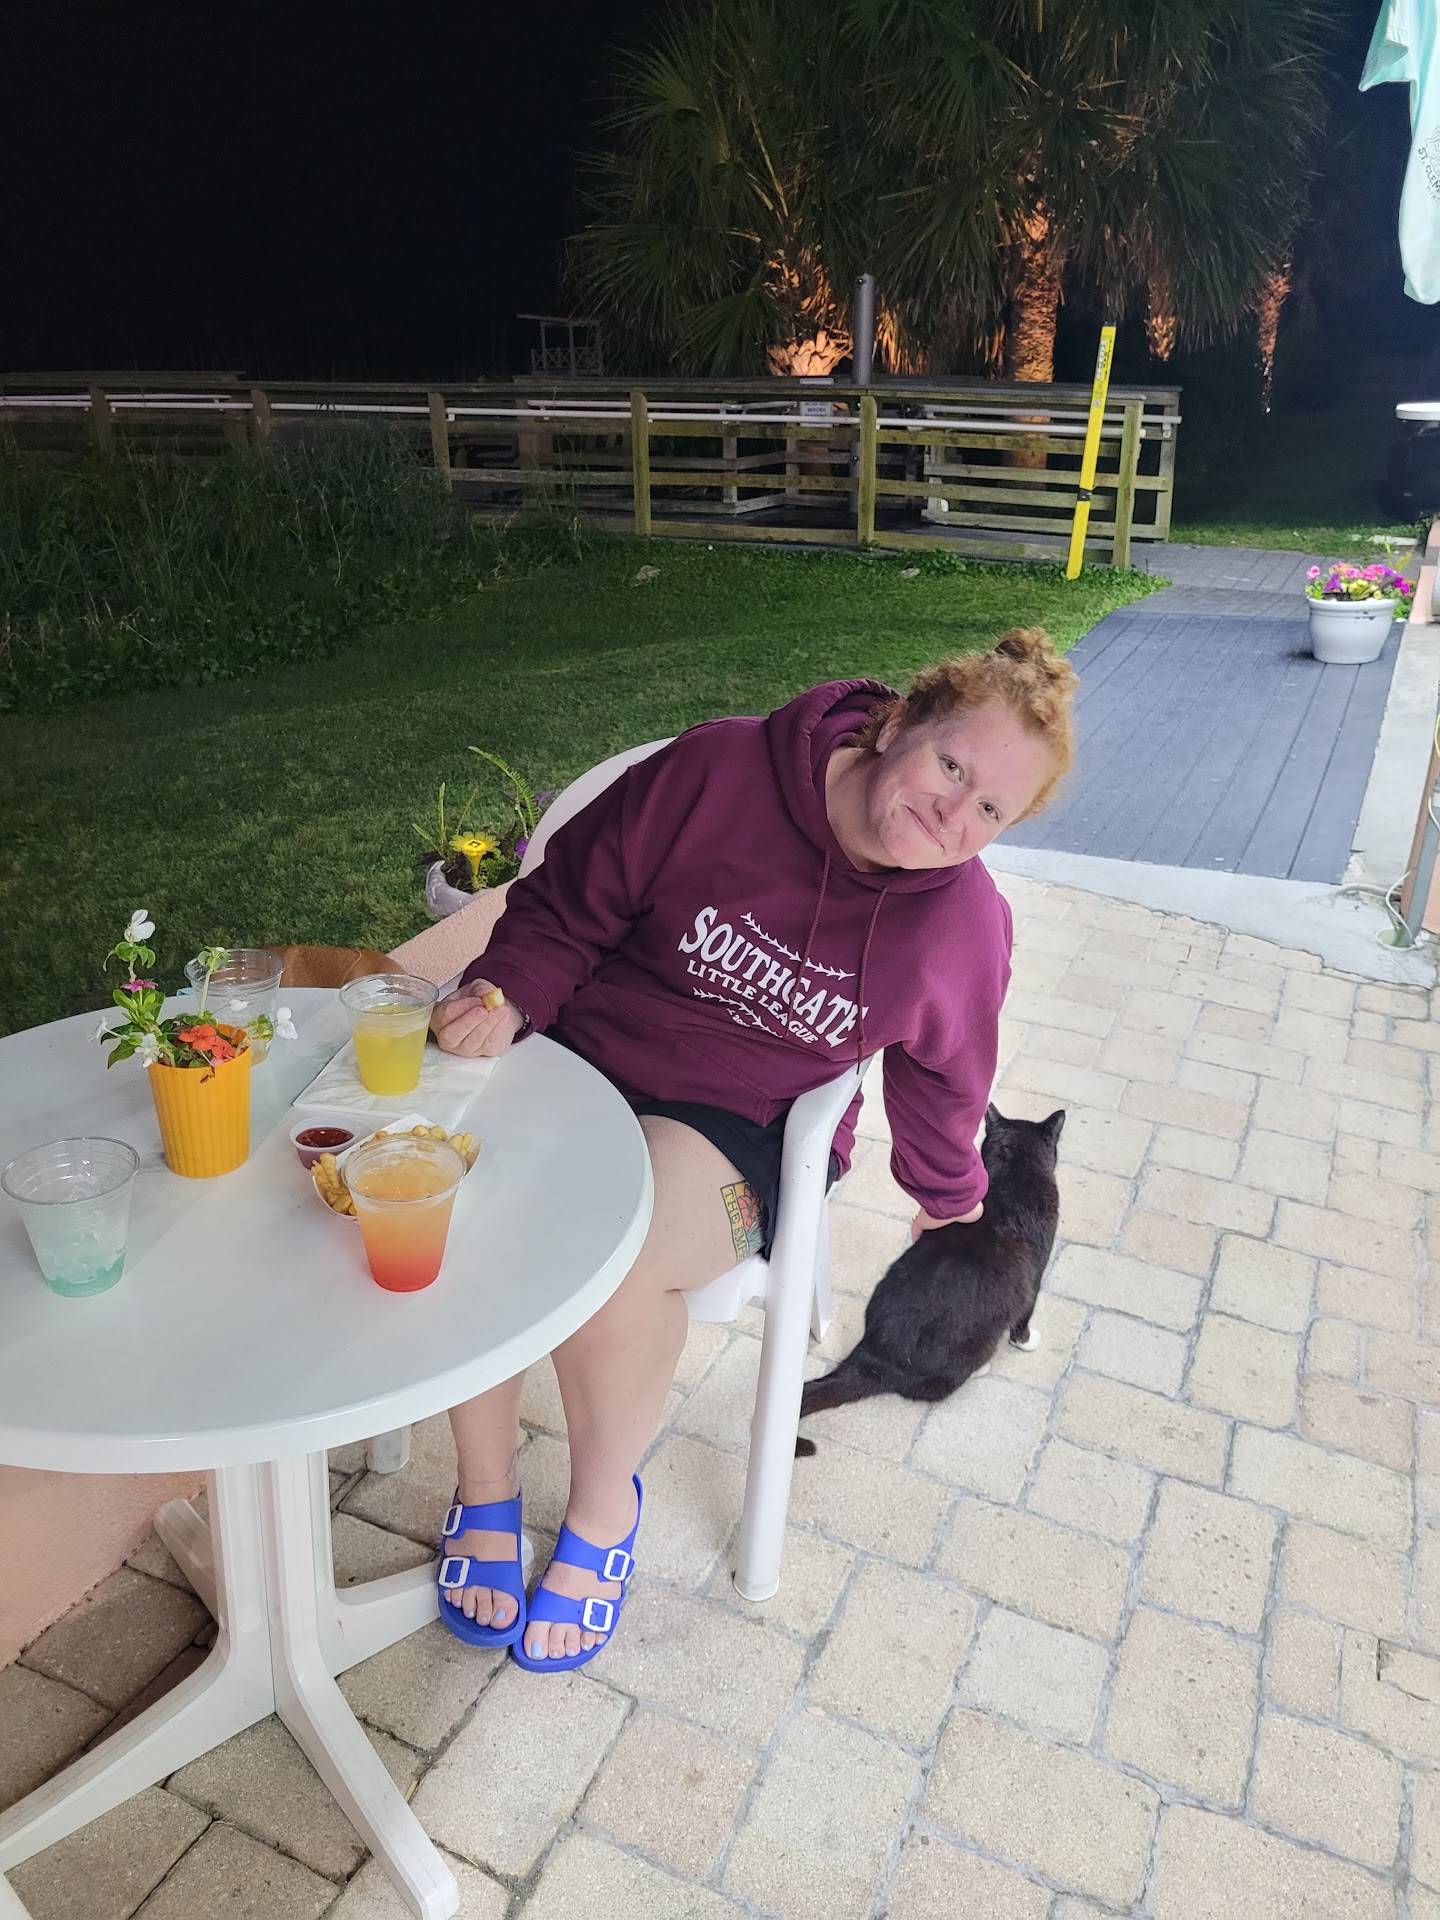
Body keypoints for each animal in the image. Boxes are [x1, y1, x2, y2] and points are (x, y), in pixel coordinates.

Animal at [795, 1104, 1065, 1456]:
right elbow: (1025, 1315)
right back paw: (980, 1370)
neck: (1011, 1173)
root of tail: (872, 1356)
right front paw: (1027, 1340)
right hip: (974, 1347)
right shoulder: (1035, 1277)